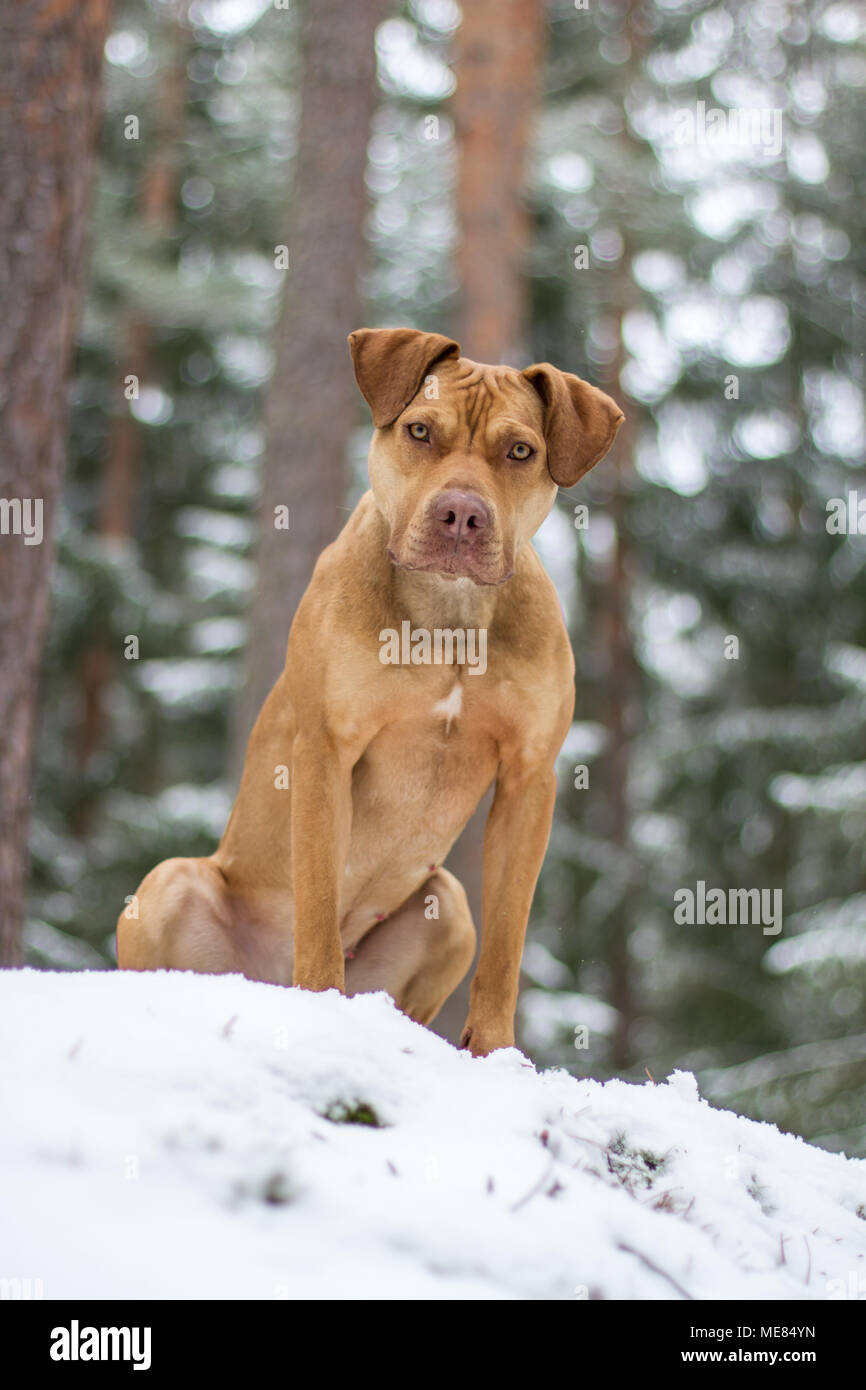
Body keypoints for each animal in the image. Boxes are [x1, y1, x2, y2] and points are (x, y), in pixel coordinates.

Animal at [118, 330, 625, 1056]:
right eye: (419, 431)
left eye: (521, 451)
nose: (461, 513)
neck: (447, 613)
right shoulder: (326, 750)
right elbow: (319, 896)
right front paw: (320, 1006)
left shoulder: (530, 779)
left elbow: (507, 938)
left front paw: (496, 1051)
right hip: (170, 883)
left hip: (448, 908)